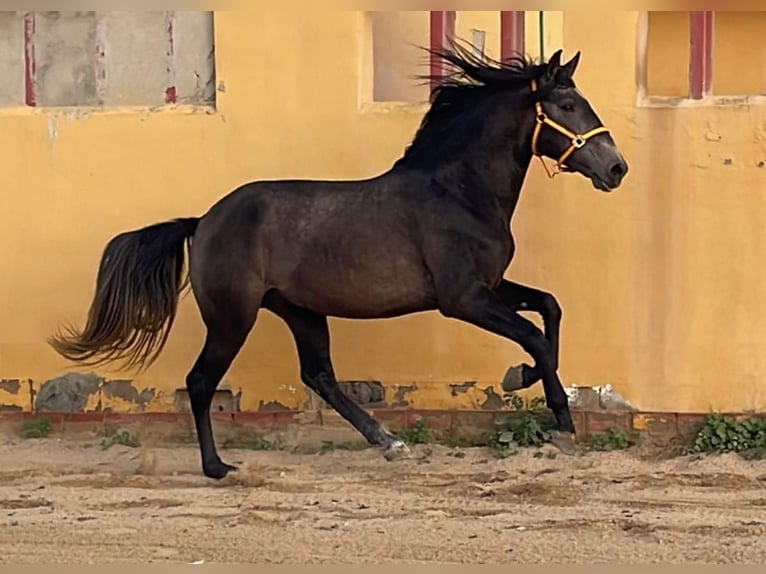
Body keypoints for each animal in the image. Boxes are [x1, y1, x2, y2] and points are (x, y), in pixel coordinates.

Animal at [48, 45, 628, 480]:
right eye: (568, 104)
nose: (616, 168)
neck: (458, 190)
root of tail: (204, 220)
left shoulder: (492, 284)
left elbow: (549, 308)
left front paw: (521, 379)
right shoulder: (462, 299)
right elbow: (533, 335)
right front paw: (560, 422)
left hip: (300, 311)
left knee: (319, 375)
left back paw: (390, 442)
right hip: (233, 317)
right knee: (201, 381)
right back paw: (217, 467)